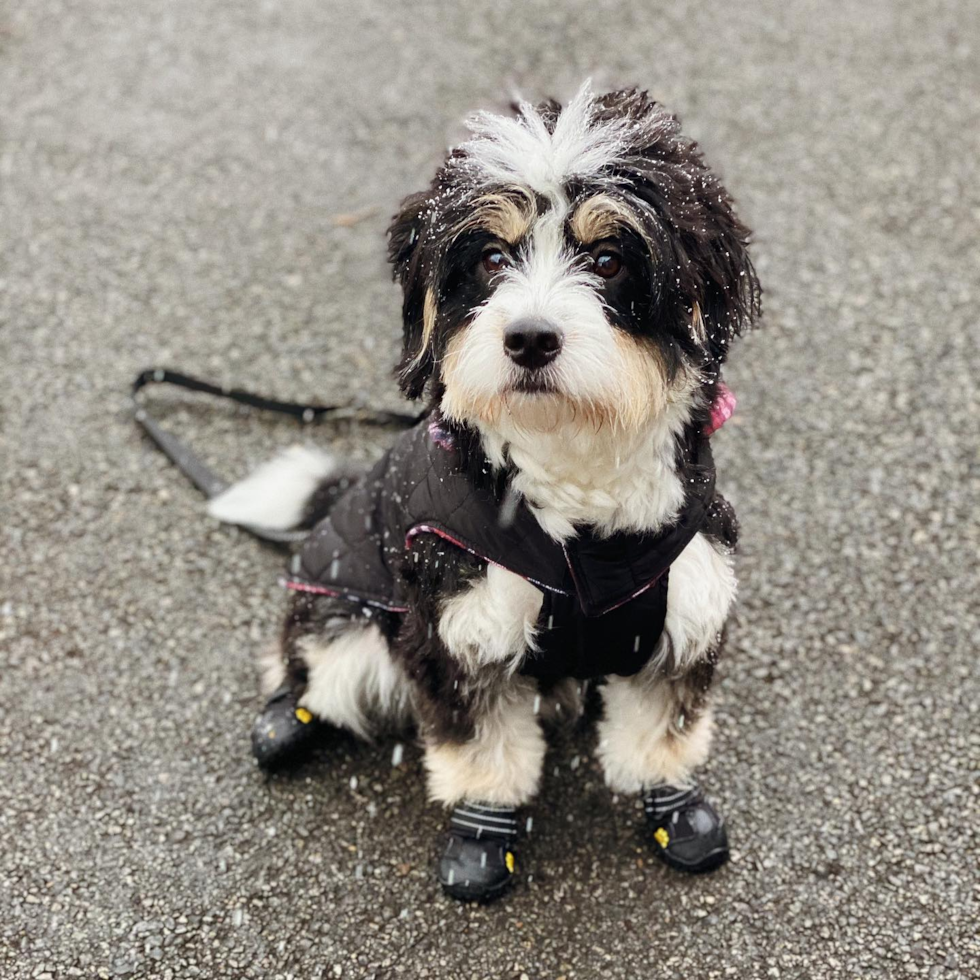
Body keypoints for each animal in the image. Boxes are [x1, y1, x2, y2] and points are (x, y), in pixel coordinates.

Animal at [207, 84, 756, 904]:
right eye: (493, 257)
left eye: (608, 259)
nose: (529, 338)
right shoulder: (454, 623)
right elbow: (483, 749)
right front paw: (484, 834)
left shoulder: (687, 607)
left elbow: (662, 729)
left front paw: (672, 807)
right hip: (350, 623)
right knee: (307, 669)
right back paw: (287, 721)